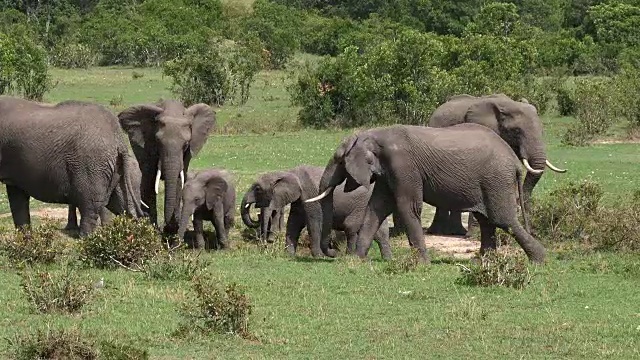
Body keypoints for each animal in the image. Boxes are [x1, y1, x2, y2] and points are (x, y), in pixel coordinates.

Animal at [0, 95, 146, 236]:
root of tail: (119, 141)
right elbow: (17, 196)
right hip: (114, 166)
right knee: (122, 205)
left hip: (91, 164)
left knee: (90, 206)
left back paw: (86, 239)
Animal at [119, 100, 218, 238]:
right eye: (158, 142)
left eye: (185, 145)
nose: (167, 228)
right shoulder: (147, 146)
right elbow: (149, 179)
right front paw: (153, 230)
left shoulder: (187, 155)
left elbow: (178, 181)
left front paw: (171, 230)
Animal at [239, 166, 390, 258]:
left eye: (257, 189)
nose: (265, 245)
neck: (289, 172)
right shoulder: (300, 199)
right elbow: (293, 223)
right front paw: (289, 255)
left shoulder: (311, 195)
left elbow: (314, 223)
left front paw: (318, 256)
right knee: (380, 233)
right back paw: (386, 259)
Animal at [308, 124, 544, 264]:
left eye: (339, 160)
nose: (334, 254)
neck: (374, 133)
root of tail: (514, 160)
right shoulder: (387, 172)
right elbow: (376, 208)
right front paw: (357, 260)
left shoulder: (404, 167)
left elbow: (407, 207)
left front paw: (421, 264)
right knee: (487, 221)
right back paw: (484, 262)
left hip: (496, 180)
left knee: (502, 219)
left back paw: (538, 260)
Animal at [420, 94, 568, 238]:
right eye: (516, 131)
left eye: (542, 132)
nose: (531, 232)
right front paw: (475, 233)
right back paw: (440, 232)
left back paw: (456, 232)